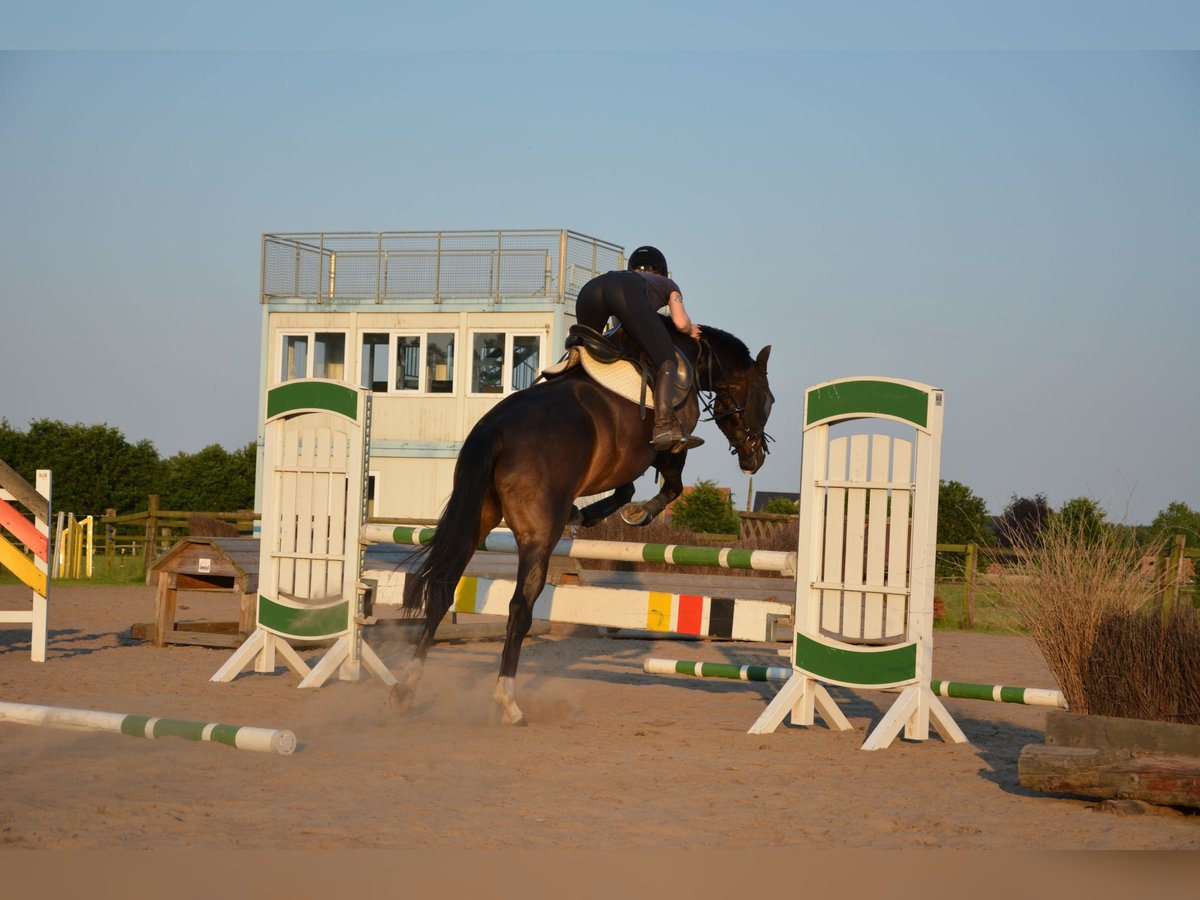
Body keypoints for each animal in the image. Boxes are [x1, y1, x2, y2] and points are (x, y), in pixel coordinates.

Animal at [388, 324, 772, 724]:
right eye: (768, 401)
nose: (756, 458)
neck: (691, 354)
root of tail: (496, 428)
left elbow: (630, 488)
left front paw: (591, 513)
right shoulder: (667, 449)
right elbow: (671, 486)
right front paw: (638, 513)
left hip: (477, 519)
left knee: (443, 589)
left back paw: (406, 689)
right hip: (538, 535)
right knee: (519, 607)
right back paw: (508, 700)